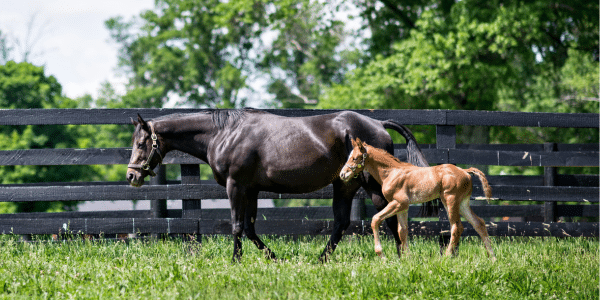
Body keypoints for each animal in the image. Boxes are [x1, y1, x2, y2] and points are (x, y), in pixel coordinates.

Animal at [125, 109, 432, 262]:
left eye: (141, 143)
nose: (131, 177)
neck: (224, 133)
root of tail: (378, 123)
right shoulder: (251, 190)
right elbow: (249, 227)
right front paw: (272, 257)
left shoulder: (235, 186)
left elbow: (236, 225)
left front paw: (235, 261)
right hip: (345, 185)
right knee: (343, 222)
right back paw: (322, 259)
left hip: (370, 184)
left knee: (387, 217)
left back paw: (398, 257)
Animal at [340, 138, 494, 260]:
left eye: (355, 158)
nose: (342, 174)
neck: (391, 172)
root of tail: (465, 171)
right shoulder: (403, 207)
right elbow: (402, 230)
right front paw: (407, 258)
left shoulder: (398, 202)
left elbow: (375, 219)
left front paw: (381, 255)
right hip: (462, 203)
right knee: (478, 223)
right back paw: (492, 257)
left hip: (450, 200)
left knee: (456, 227)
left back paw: (446, 257)